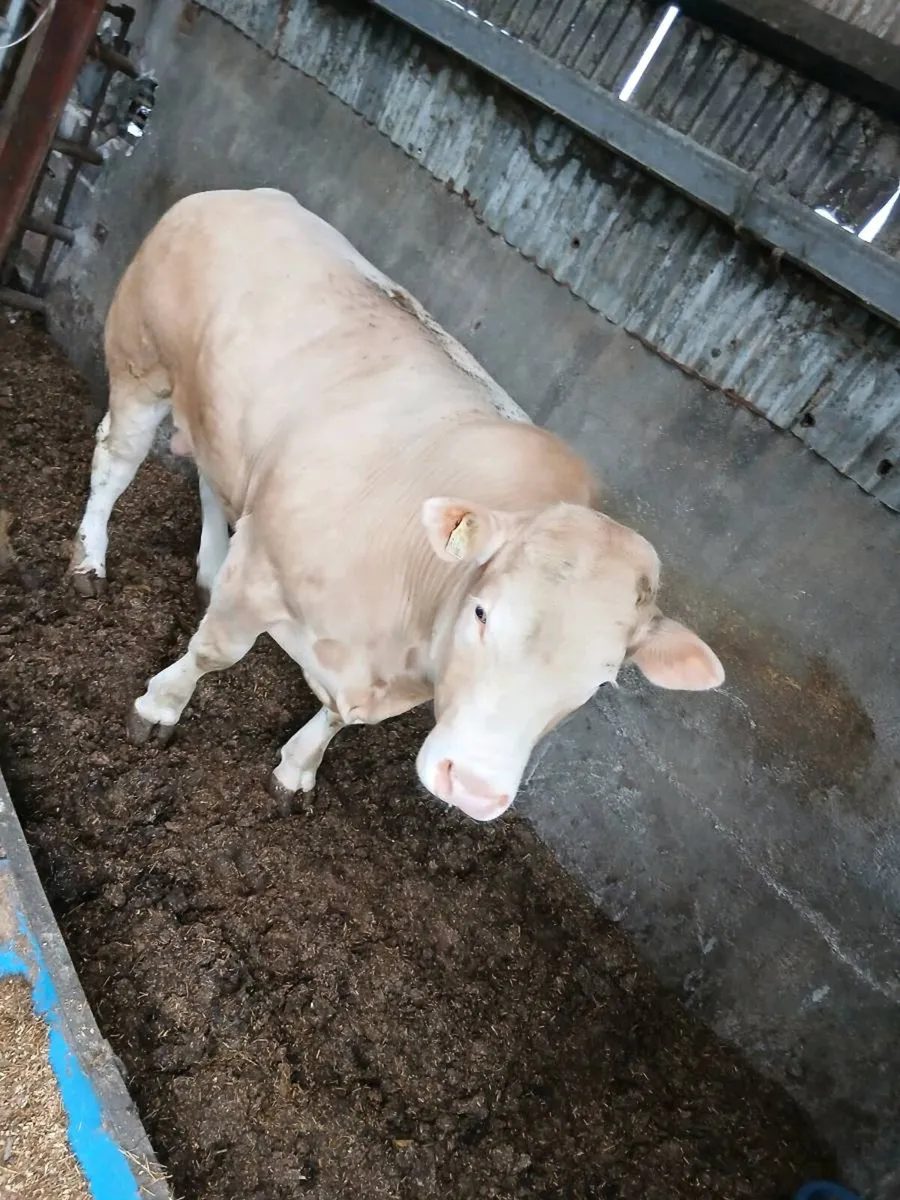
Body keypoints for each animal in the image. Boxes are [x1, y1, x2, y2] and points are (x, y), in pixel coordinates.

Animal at [69, 188, 724, 823]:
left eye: (604, 681)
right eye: (483, 613)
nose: (475, 789)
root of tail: (234, 194)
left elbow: (342, 718)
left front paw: (297, 771)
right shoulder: (262, 568)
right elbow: (214, 652)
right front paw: (158, 709)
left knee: (210, 474)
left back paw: (207, 566)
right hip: (140, 358)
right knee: (116, 460)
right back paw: (89, 561)